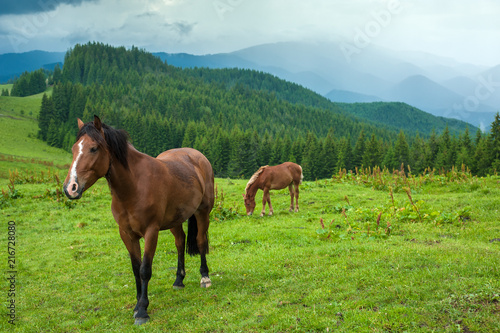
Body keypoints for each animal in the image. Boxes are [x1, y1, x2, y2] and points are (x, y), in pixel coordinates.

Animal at [62, 115, 213, 322]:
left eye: (93, 148)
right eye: (73, 149)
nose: (70, 188)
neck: (134, 186)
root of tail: (197, 156)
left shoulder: (151, 232)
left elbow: (145, 270)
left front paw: (142, 310)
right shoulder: (127, 234)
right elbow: (135, 269)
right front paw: (136, 305)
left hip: (202, 212)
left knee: (200, 240)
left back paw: (205, 277)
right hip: (175, 219)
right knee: (180, 242)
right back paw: (178, 280)